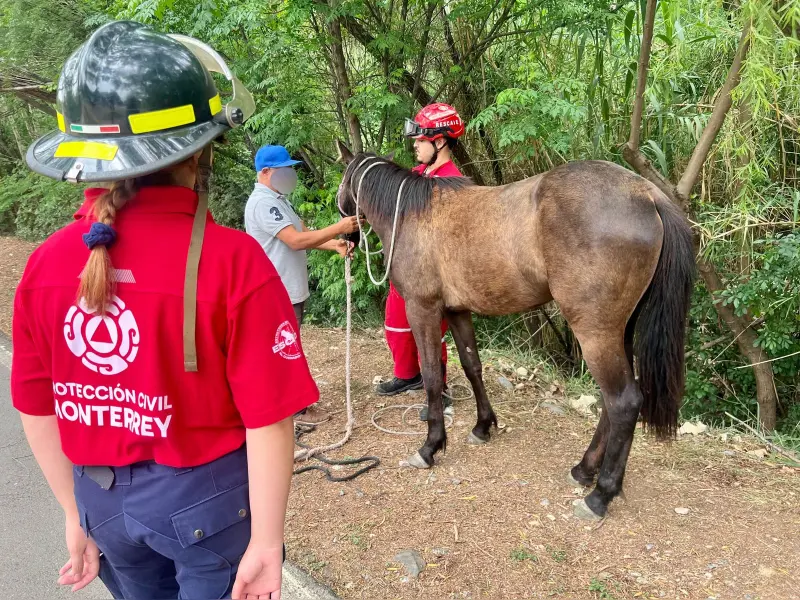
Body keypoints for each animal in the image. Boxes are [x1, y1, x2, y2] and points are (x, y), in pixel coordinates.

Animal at [336, 142, 695, 519]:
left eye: (342, 180)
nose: (345, 236)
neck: (411, 214)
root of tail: (646, 192)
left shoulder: (423, 310)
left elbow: (433, 376)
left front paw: (430, 446)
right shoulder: (457, 311)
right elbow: (472, 366)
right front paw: (482, 426)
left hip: (595, 333)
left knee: (623, 402)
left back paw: (600, 494)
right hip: (618, 331)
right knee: (613, 405)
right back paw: (584, 470)